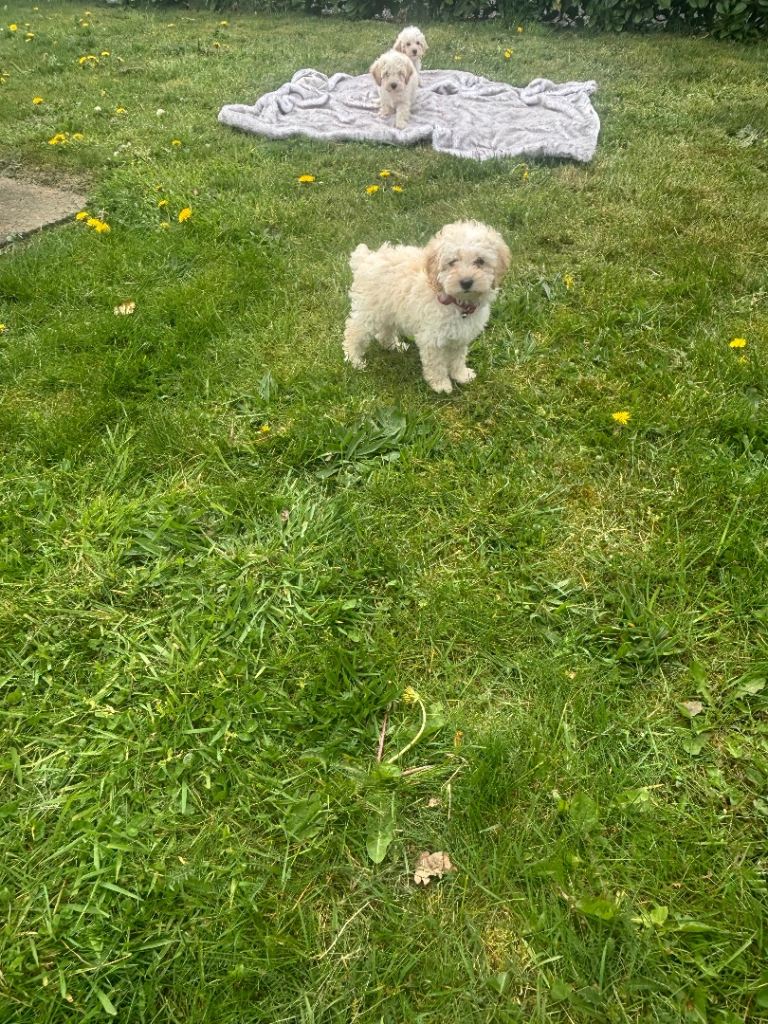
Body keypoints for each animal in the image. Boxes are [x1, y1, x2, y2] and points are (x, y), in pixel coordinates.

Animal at [343, 221, 511, 394]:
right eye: (452, 262)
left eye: (480, 261)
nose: (466, 282)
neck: (456, 301)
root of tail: (365, 259)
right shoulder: (432, 339)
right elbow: (436, 365)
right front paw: (441, 385)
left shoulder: (460, 336)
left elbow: (458, 358)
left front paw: (461, 375)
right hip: (369, 310)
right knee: (354, 331)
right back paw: (354, 360)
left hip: (388, 309)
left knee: (384, 332)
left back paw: (394, 346)